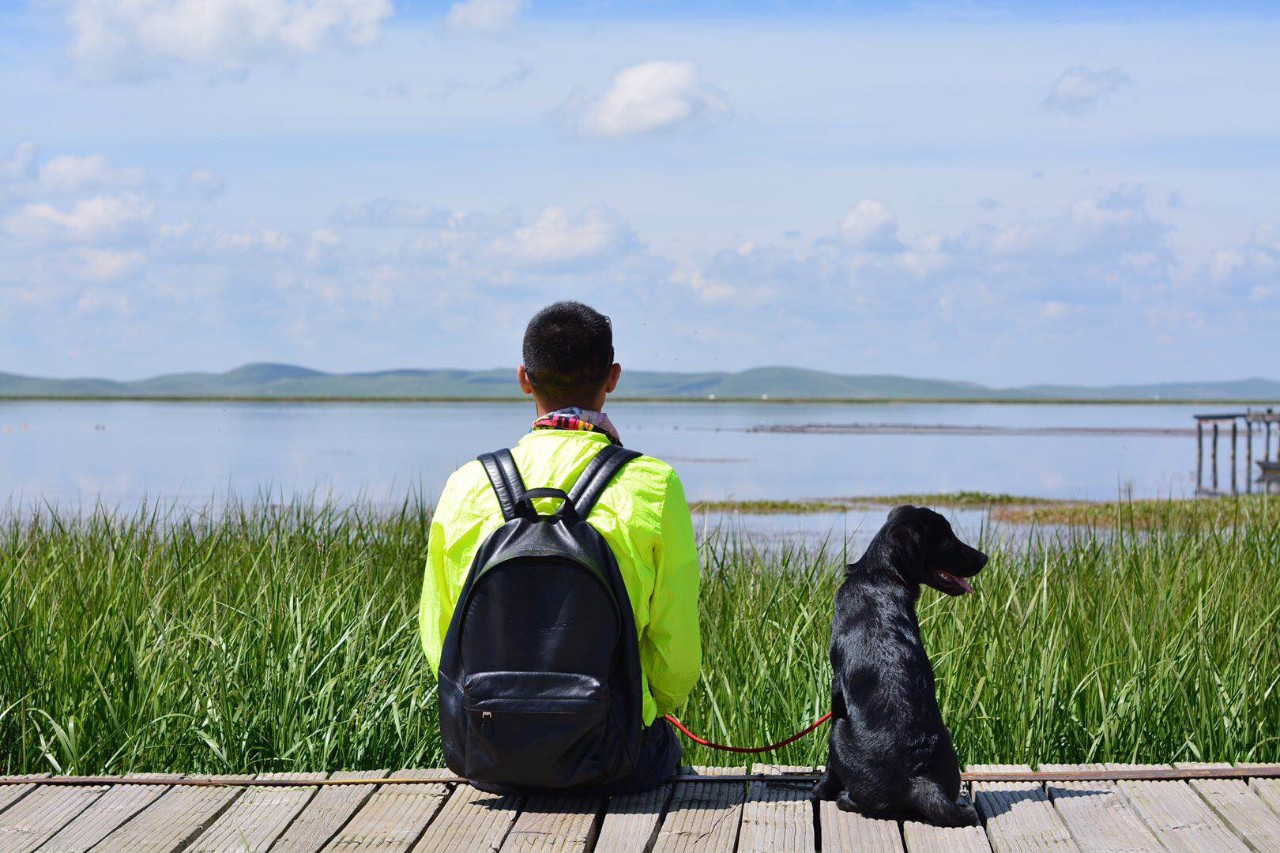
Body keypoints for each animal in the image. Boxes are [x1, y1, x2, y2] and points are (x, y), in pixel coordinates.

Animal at [814, 504, 983, 824]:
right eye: (946, 540)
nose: (984, 558)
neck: (880, 577)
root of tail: (919, 779)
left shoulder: (836, 687)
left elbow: (828, 768)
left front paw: (821, 790)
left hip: (838, 731)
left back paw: (844, 798)